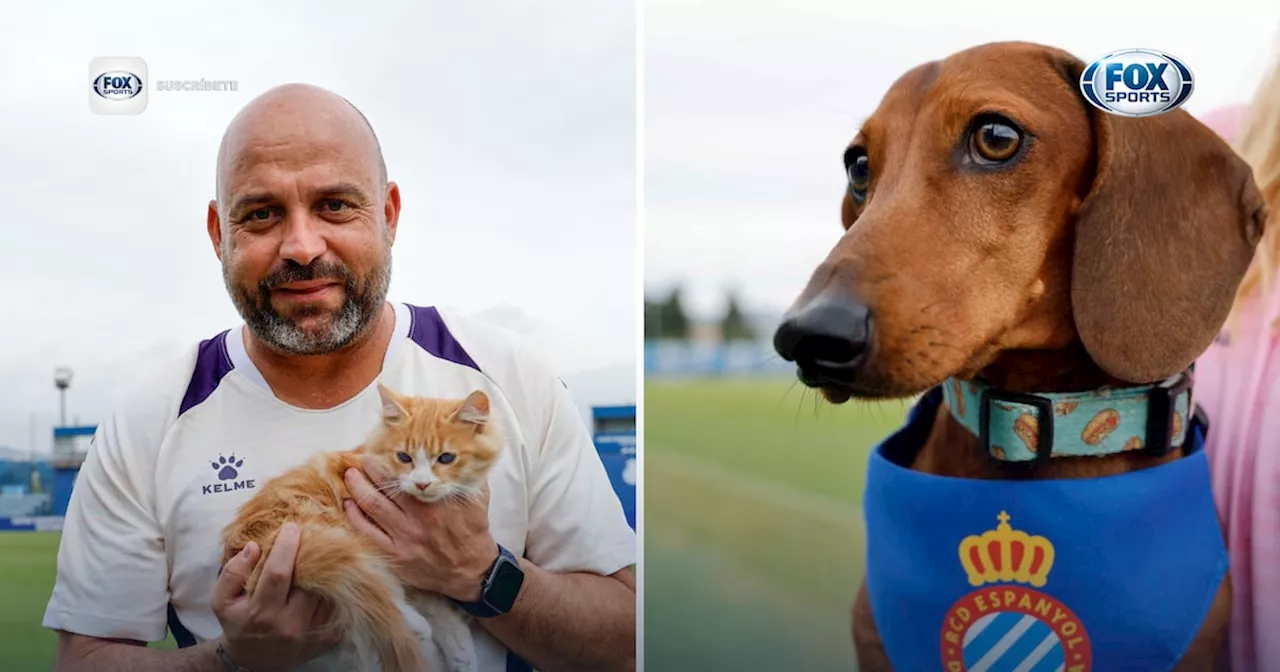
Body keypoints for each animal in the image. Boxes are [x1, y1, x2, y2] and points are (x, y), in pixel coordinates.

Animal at [220, 381, 499, 670]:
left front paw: (462, 657)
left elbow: (446, 619)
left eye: (445, 458)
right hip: (330, 529)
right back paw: (413, 624)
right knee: (371, 585)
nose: (421, 483)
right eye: (404, 457)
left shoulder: (422, 578)